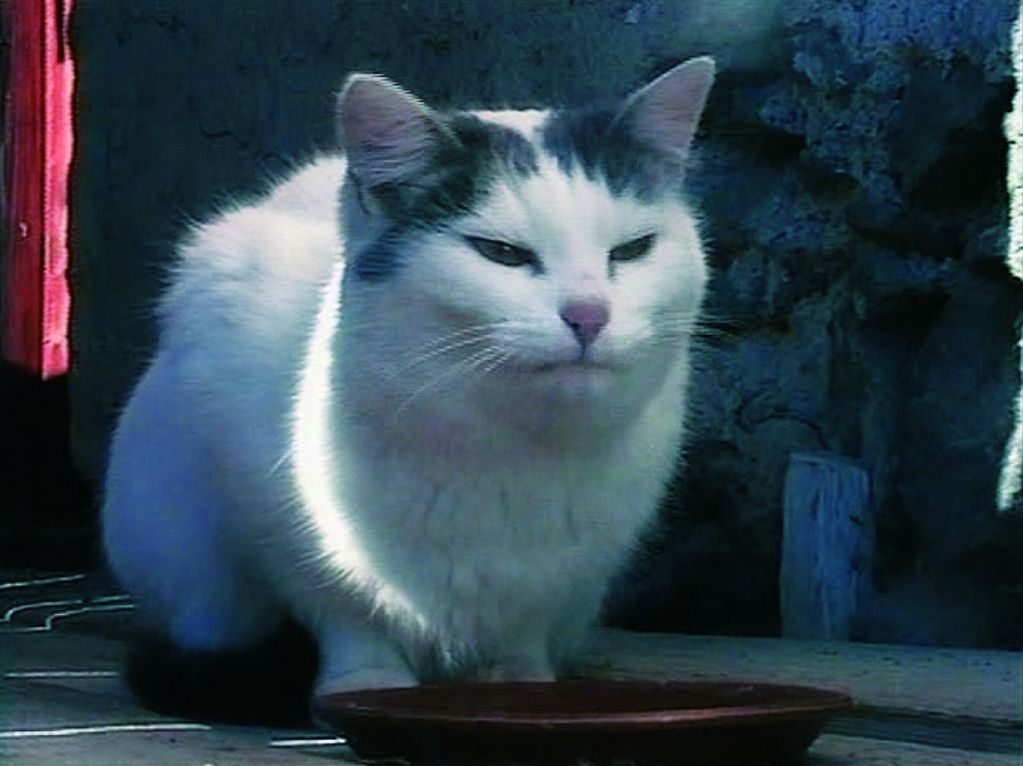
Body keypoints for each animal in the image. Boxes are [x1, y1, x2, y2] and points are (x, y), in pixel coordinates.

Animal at [99, 53, 716, 711]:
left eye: (632, 250)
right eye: (501, 253)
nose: (589, 315)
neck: (501, 446)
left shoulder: (564, 567)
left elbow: (524, 621)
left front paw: (519, 680)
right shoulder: (275, 516)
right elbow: (343, 606)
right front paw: (366, 681)